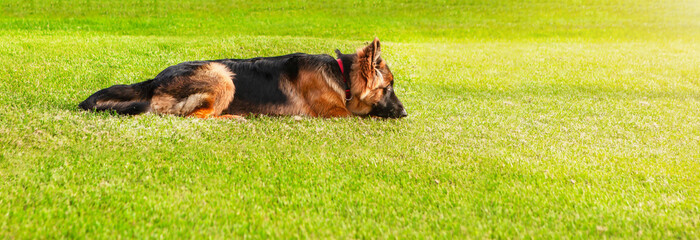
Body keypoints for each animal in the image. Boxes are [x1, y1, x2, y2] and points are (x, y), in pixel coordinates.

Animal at [78, 37, 404, 119]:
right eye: (388, 87)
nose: (405, 113)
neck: (342, 76)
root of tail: (154, 81)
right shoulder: (337, 114)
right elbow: (362, 117)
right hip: (224, 77)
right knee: (197, 117)